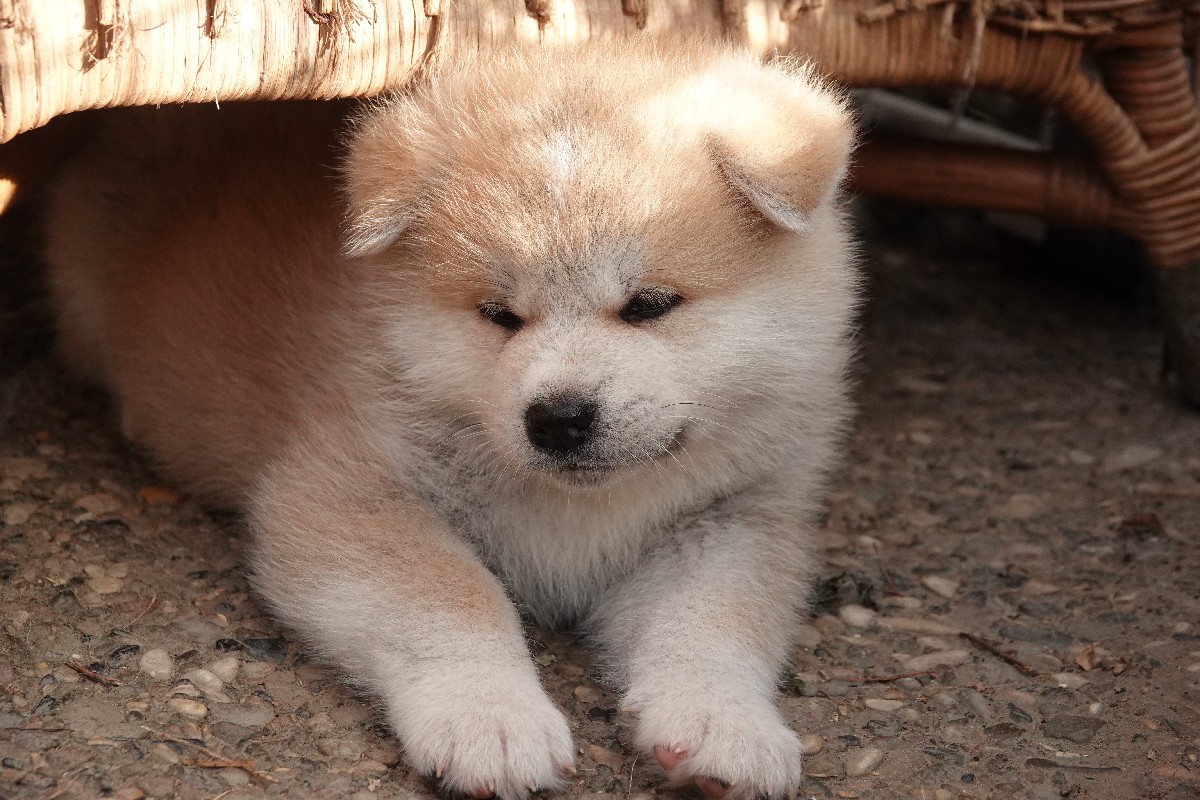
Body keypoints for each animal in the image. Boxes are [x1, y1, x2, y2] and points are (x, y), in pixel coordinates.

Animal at [44, 37, 857, 800]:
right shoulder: (349, 489)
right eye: (499, 315)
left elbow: (715, 624)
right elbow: (450, 598)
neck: (580, 511)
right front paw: (489, 716)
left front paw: (725, 723)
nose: (560, 417)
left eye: (650, 305)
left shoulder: (735, 517)